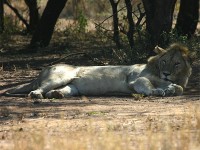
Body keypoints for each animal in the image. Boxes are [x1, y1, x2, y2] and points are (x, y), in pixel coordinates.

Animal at [4, 43, 191, 99]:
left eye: (176, 64)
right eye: (164, 61)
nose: (166, 73)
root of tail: (44, 69)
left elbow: (179, 88)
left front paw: (171, 88)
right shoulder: (135, 79)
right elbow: (147, 84)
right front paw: (157, 91)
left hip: (73, 86)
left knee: (61, 90)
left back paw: (57, 95)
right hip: (59, 77)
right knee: (40, 88)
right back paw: (36, 94)